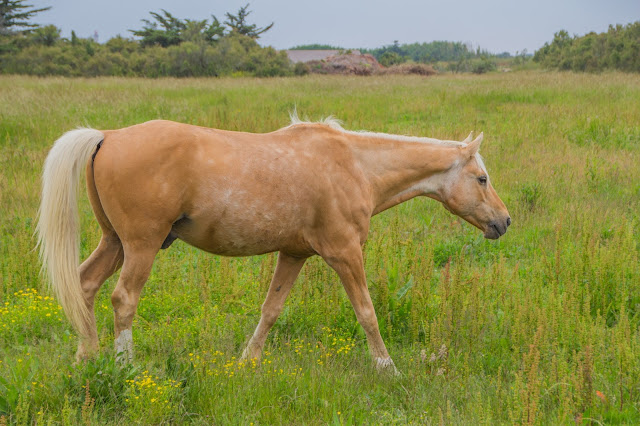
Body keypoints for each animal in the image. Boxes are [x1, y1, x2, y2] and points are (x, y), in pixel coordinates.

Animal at [38, 115, 510, 372]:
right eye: (482, 178)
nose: (503, 222)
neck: (354, 165)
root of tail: (107, 135)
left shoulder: (294, 254)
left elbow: (271, 310)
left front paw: (248, 362)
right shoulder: (344, 254)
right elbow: (367, 312)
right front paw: (387, 367)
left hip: (114, 242)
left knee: (84, 286)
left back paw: (86, 358)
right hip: (141, 246)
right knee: (123, 299)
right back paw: (124, 366)